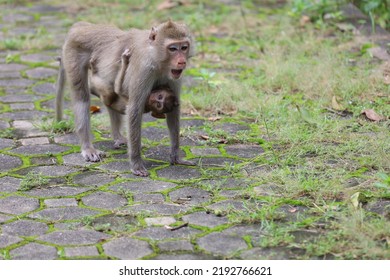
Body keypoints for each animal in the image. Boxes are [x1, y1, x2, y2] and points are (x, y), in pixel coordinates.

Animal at [56, 20, 195, 176]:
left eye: (184, 47)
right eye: (173, 49)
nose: (182, 61)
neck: (156, 58)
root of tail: (81, 26)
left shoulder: (174, 76)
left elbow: (173, 111)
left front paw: (176, 156)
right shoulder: (143, 69)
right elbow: (134, 109)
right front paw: (136, 163)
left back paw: (118, 137)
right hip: (74, 51)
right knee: (82, 96)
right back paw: (87, 147)